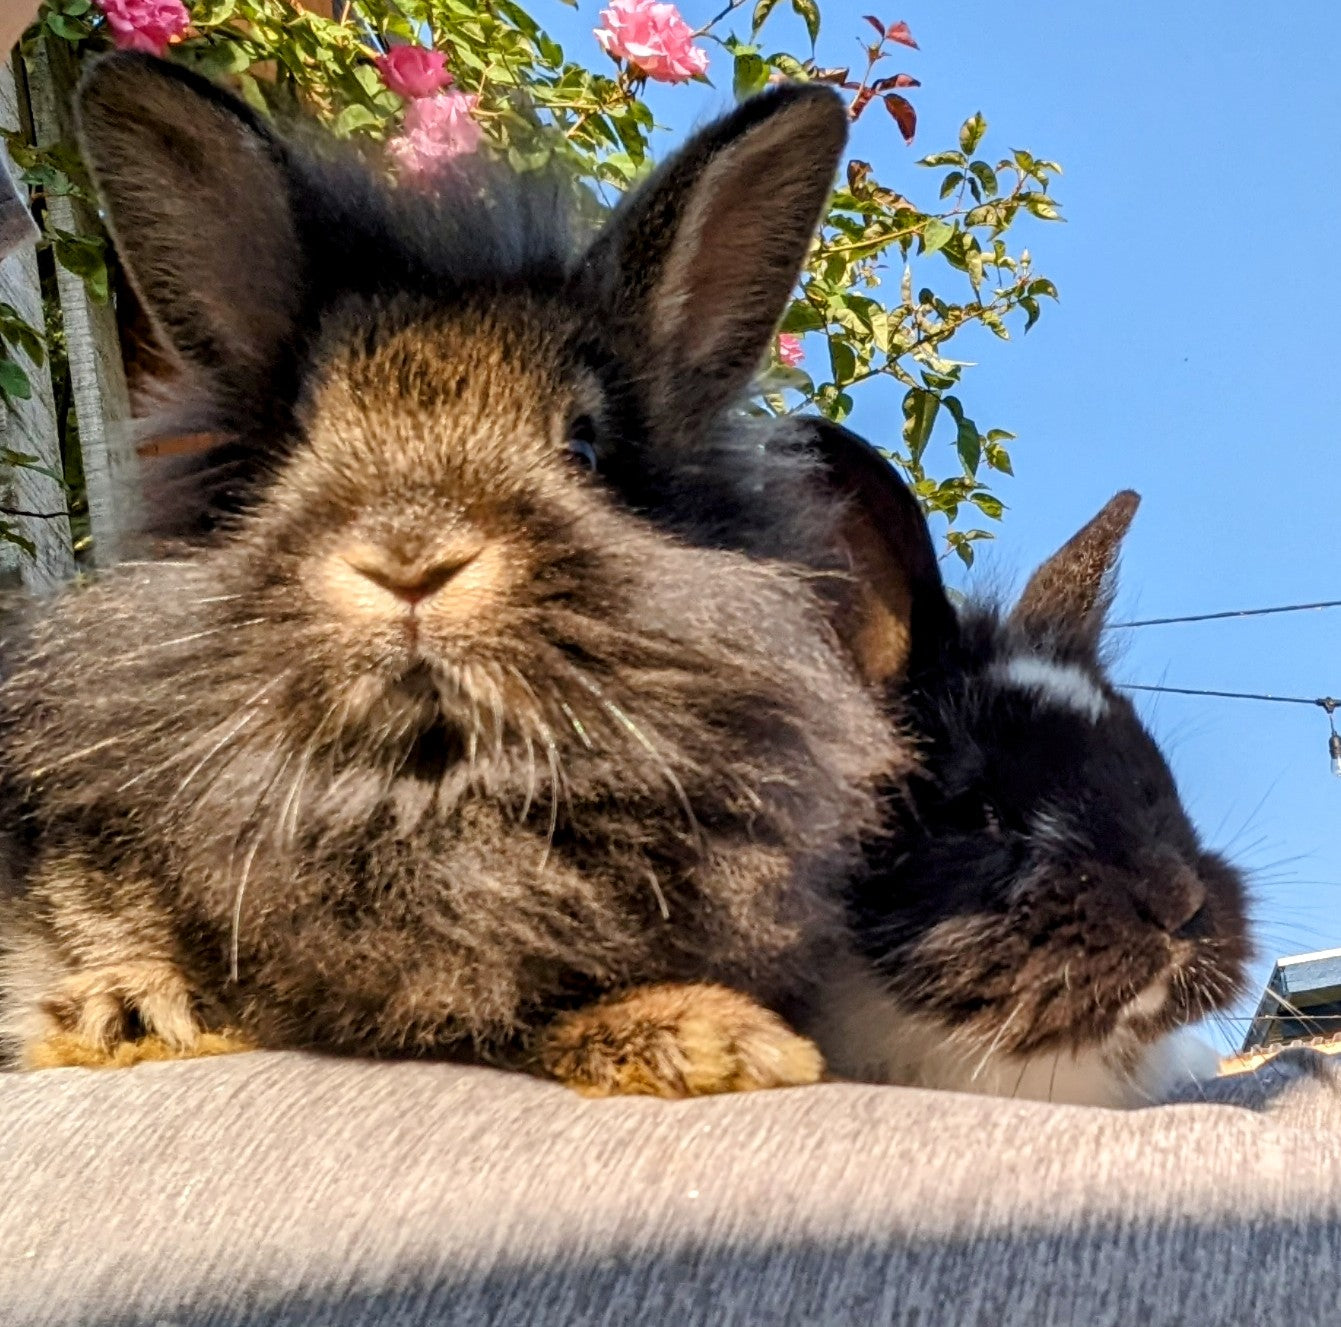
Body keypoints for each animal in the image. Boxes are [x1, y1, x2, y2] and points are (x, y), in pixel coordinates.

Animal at [0, 55, 908, 1097]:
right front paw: (126, 1013)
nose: (411, 559)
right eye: (296, 445)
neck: (427, 791)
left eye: (584, 449)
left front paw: (713, 1039)